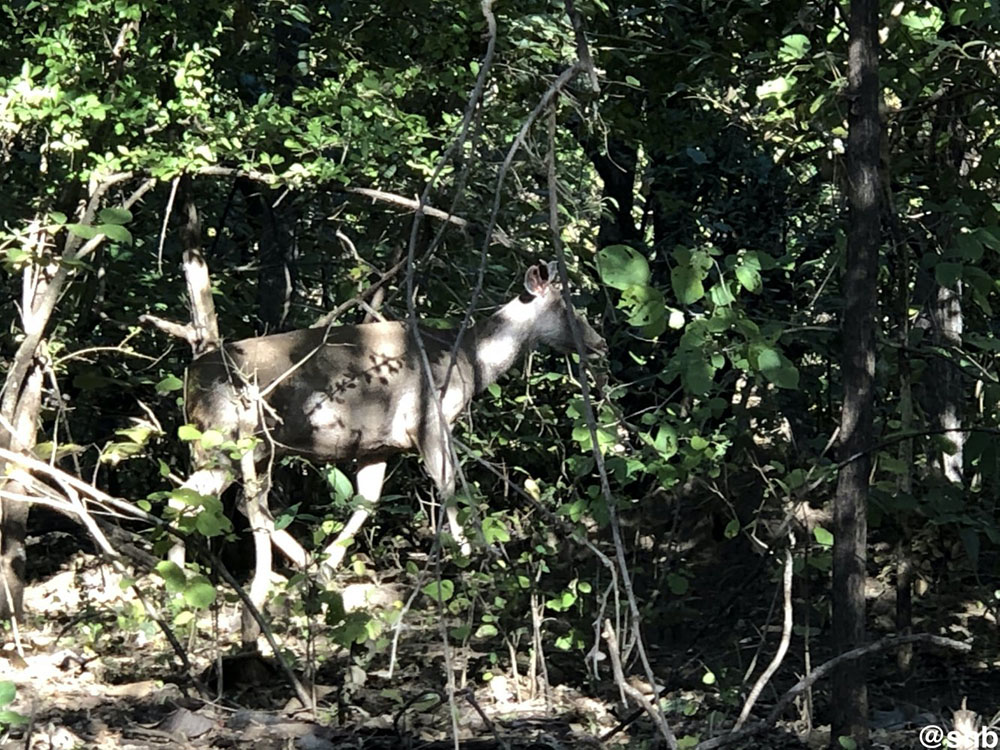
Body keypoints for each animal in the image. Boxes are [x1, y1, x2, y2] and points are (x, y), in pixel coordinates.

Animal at [176, 262, 604, 632]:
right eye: (566, 307)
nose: (599, 344)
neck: (471, 360)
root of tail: (190, 379)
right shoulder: (428, 420)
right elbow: (450, 486)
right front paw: (473, 552)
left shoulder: (377, 444)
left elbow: (367, 501)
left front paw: (331, 563)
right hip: (236, 439)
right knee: (217, 501)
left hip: (235, 446)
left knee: (211, 500)